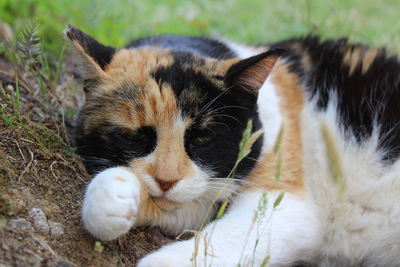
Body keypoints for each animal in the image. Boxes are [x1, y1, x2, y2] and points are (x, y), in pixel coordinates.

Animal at [65, 24, 400, 266]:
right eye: (136, 137)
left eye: (201, 138)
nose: (166, 180)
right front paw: (114, 195)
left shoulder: (284, 201)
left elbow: (231, 235)